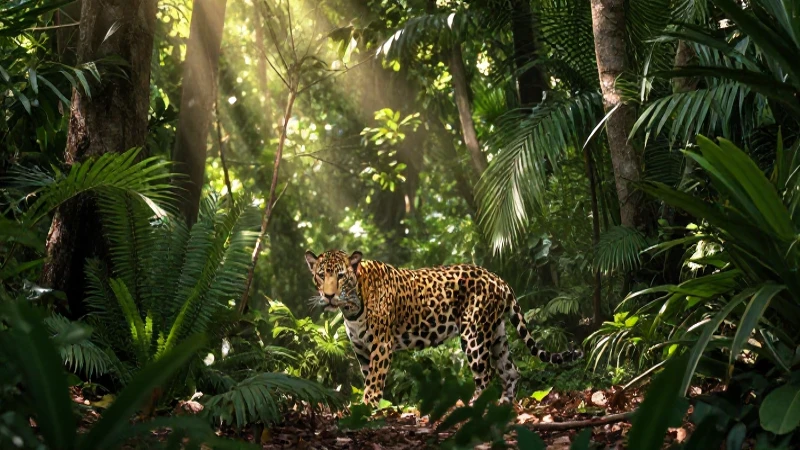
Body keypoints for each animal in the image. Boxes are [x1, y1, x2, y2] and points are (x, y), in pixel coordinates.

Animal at [304, 249, 583, 407]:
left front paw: (369, 406)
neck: (351, 307)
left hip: (473, 333)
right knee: (511, 371)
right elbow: (368, 378)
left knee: (486, 374)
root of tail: (499, 279)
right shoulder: (362, 350)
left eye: (341, 276)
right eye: (320, 275)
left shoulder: (381, 346)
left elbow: (374, 381)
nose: (329, 296)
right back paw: (505, 404)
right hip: (496, 334)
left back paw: (471, 405)